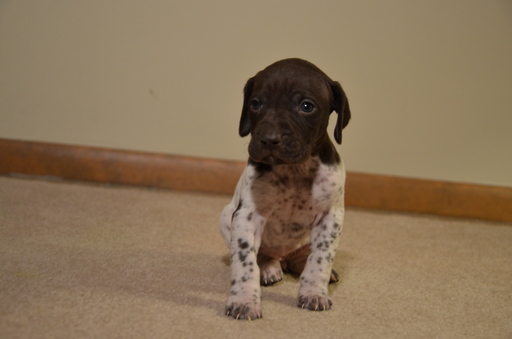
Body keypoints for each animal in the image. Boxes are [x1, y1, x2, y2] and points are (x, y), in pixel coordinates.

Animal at [218, 58, 350, 322]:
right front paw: (244, 300)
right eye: (255, 104)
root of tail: (284, 258)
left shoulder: (330, 217)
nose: (270, 139)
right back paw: (268, 269)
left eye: (306, 106)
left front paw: (314, 292)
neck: (295, 171)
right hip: (226, 218)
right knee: (263, 257)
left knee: (305, 259)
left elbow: (319, 260)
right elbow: (245, 263)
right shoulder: (247, 216)